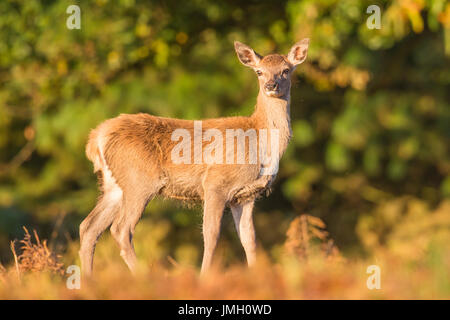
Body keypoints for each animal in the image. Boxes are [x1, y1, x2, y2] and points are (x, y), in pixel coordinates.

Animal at [79, 38, 310, 276]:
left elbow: (249, 239)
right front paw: (205, 276)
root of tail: (96, 138)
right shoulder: (216, 183)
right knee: (121, 228)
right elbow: (211, 234)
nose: (271, 86)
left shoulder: (246, 196)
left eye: (286, 70)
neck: (258, 138)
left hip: (114, 185)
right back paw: (145, 276)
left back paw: (89, 280)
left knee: (88, 227)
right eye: (259, 71)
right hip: (139, 180)